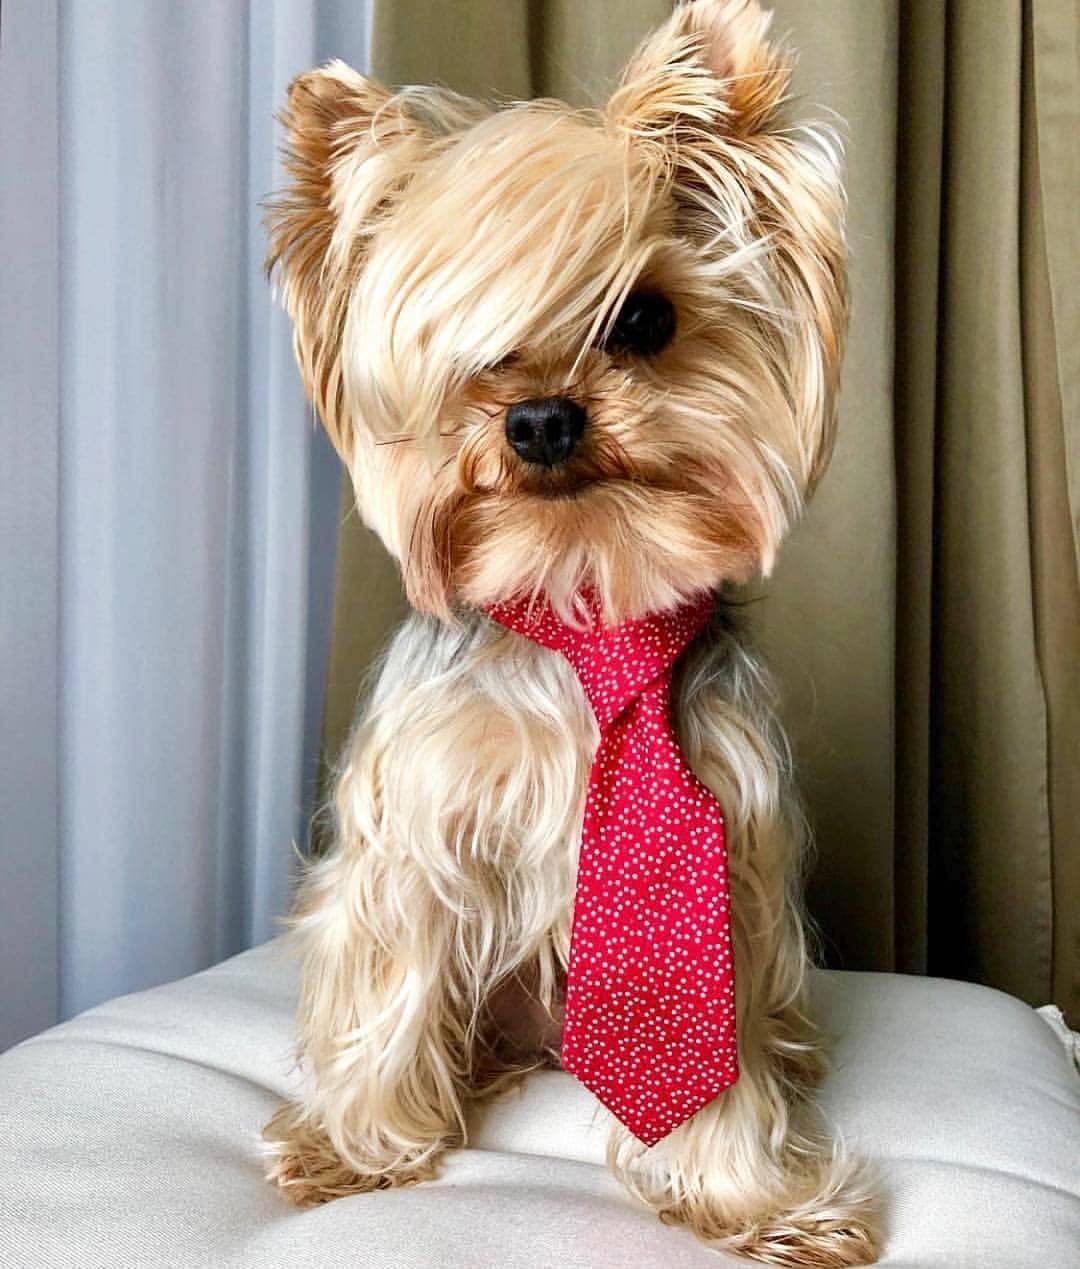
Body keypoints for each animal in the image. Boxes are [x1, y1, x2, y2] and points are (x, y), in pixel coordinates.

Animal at [260, 0, 878, 1258]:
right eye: (471, 345)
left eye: (643, 317)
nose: (540, 419)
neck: (587, 592)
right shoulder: (419, 828)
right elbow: (392, 979)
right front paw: (355, 1150)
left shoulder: (719, 866)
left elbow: (713, 1040)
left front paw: (753, 1201)